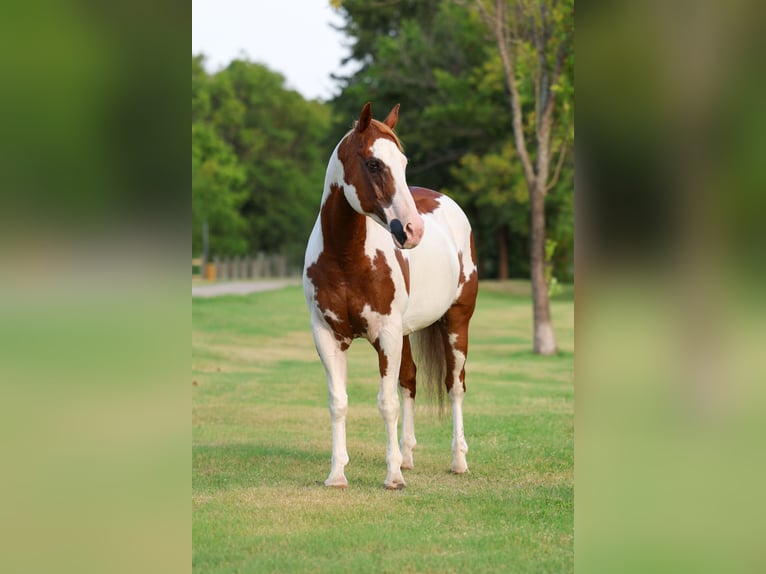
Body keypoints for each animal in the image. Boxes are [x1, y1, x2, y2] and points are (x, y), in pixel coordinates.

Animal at [303, 102, 478, 489]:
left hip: (456, 322)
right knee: (410, 382)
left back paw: (458, 461)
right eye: (373, 164)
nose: (412, 231)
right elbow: (339, 402)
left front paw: (393, 477)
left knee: (454, 386)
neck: (346, 257)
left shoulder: (385, 334)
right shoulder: (328, 336)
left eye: (403, 162)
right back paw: (408, 456)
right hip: (407, 332)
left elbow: (387, 403)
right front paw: (337, 474)